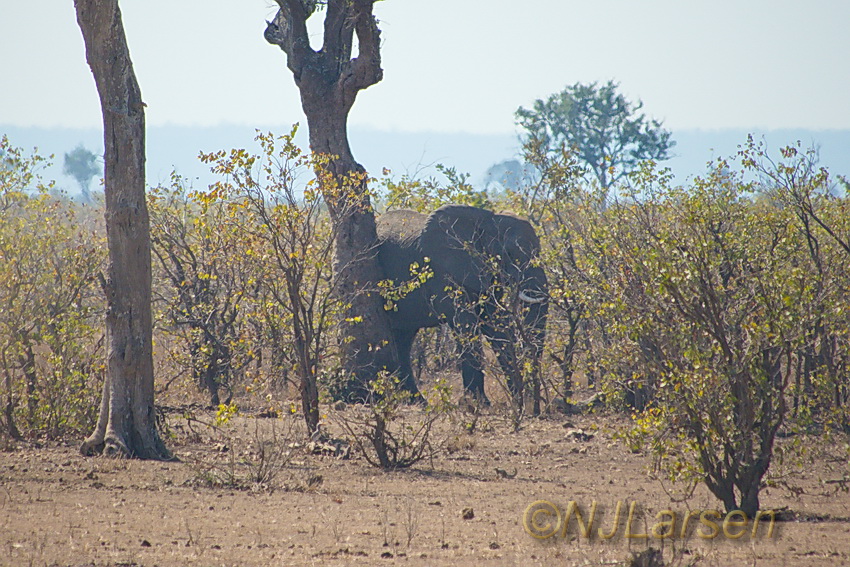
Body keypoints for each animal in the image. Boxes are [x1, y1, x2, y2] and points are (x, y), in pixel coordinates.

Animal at [374, 204, 548, 404]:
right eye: (509, 254)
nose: (532, 401)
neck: (488, 219)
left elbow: (495, 323)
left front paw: (516, 399)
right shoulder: (442, 270)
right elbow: (466, 323)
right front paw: (478, 403)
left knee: (403, 338)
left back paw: (416, 402)